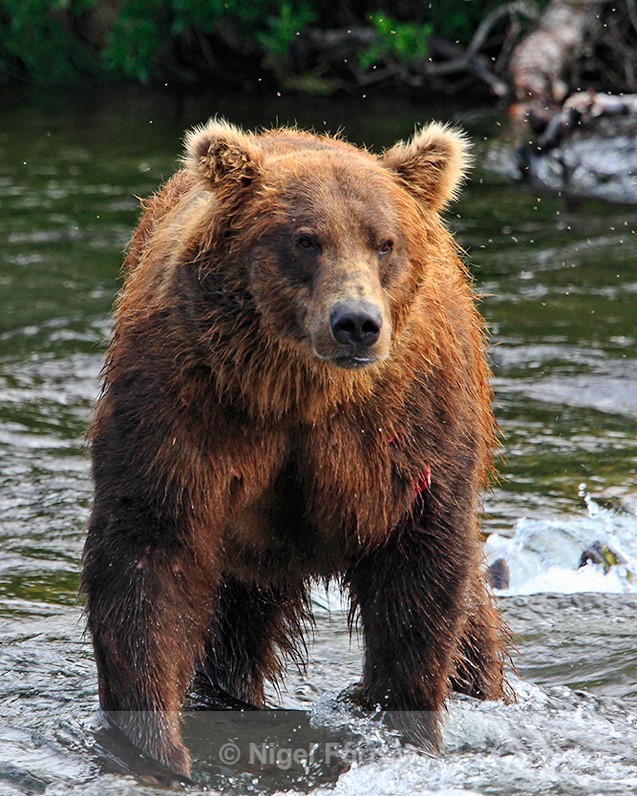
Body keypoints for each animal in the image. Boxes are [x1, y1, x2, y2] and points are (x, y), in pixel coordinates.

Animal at [81, 119, 510, 778]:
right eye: (306, 240)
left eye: (384, 243)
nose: (356, 323)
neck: (300, 392)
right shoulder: (188, 404)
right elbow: (149, 548)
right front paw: (158, 747)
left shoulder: (407, 428)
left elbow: (420, 574)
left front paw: (402, 726)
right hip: (247, 556)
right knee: (234, 630)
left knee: (472, 623)